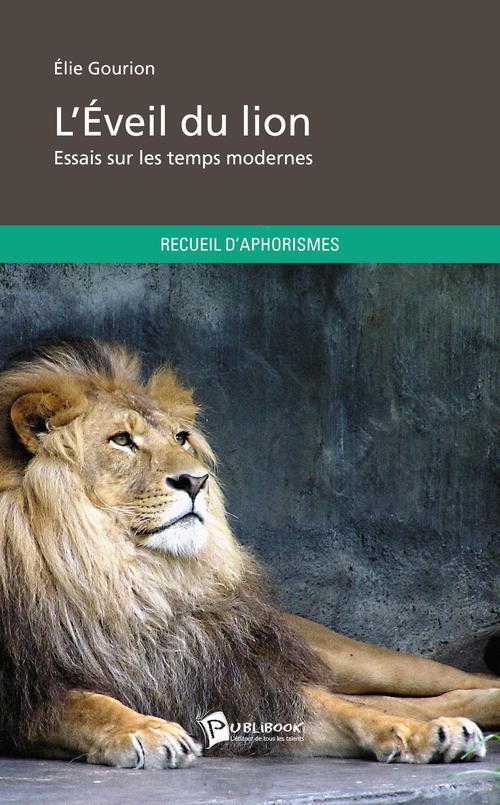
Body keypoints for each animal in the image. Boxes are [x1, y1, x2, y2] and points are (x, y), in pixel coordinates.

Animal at [0, 337, 499, 769]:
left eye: (181, 438)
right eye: (121, 440)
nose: (196, 480)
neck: (130, 579)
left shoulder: (245, 682)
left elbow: (358, 713)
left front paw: (427, 735)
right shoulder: (27, 695)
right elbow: (88, 704)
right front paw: (146, 729)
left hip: (352, 658)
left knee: (445, 685)